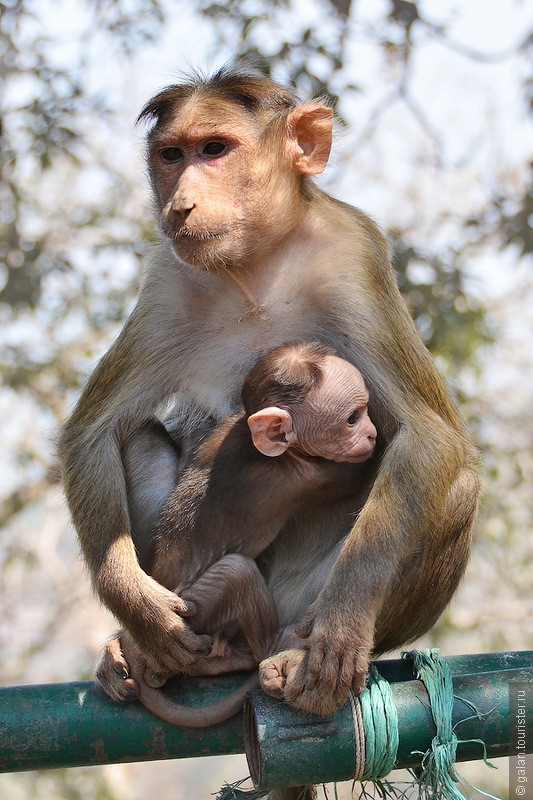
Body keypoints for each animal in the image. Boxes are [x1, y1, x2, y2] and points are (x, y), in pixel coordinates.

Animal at [114, 340, 376, 728]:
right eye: (352, 419)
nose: (372, 433)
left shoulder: (232, 427)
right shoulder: (310, 471)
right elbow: (356, 475)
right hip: (193, 614)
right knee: (236, 573)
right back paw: (268, 648)